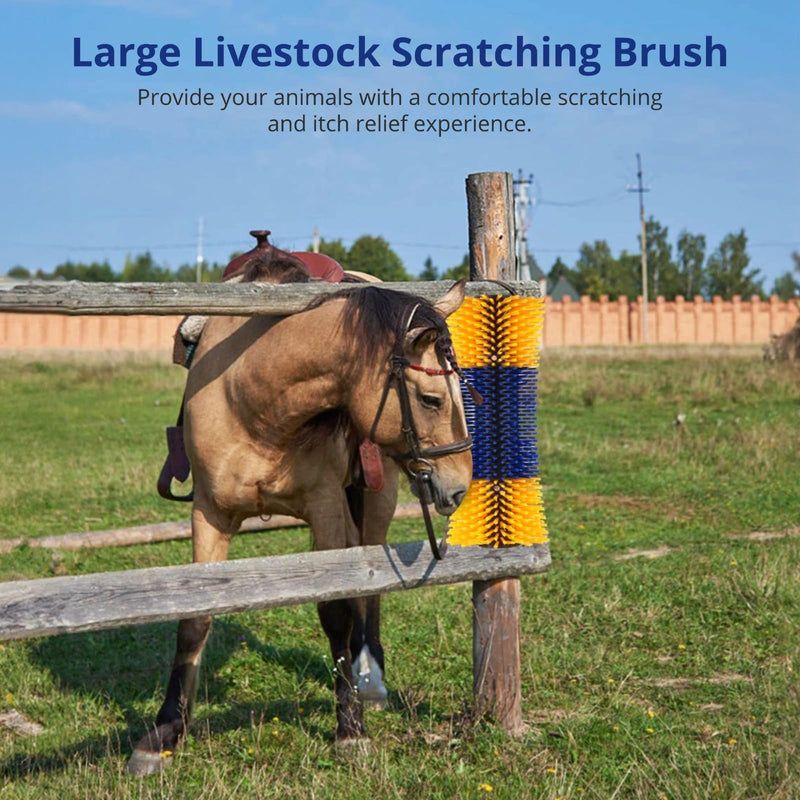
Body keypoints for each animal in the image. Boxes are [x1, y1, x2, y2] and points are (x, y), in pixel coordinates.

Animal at [127, 251, 473, 776]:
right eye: (431, 398)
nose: (459, 486)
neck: (253, 401)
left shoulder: (325, 508)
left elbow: (335, 612)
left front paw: (349, 729)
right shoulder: (209, 513)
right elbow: (194, 619)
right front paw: (165, 733)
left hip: (376, 501)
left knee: (370, 588)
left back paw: (369, 678)